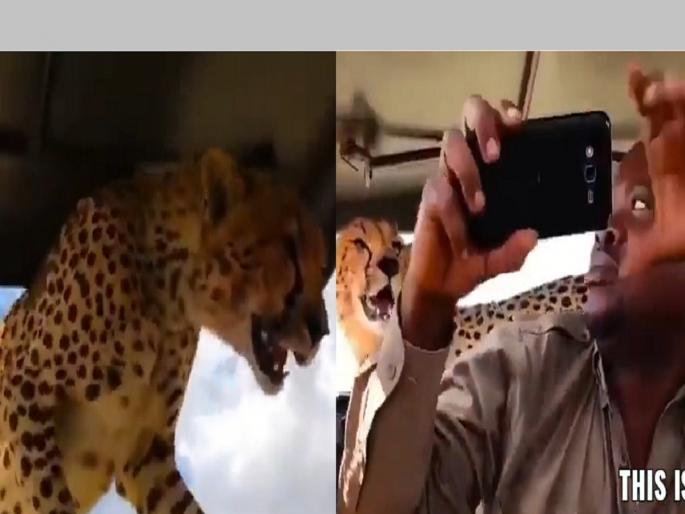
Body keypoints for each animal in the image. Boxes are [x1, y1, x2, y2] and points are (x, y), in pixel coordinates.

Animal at [0, 148, 329, 514]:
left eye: (323, 268)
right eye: (290, 250)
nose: (322, 330)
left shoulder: (147, 456)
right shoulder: (24, 389)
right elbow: (49, 495)